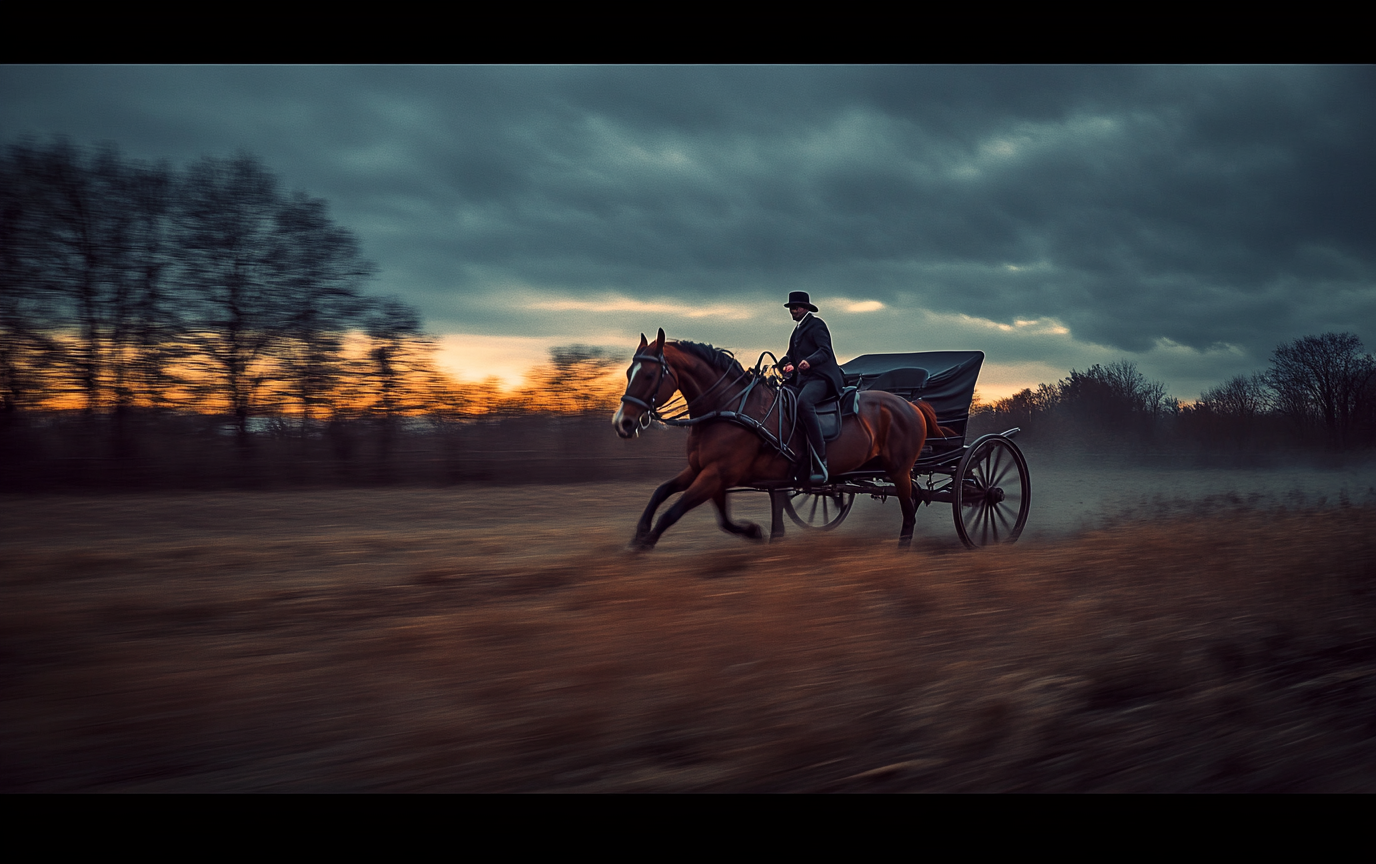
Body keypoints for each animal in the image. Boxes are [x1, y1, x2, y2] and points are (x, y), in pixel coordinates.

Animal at [613, 327, 946, 550]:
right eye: (629, 371)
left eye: (648, 375)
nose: (623, 423)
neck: (730, 406)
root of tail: (910, 404)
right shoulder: (703, 471)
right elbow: (668, 494)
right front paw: (640, 532)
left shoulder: (716, 474)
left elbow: (674, 511)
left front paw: (644, 544)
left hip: (899, 470)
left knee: (909, 509)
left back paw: (903, 549)